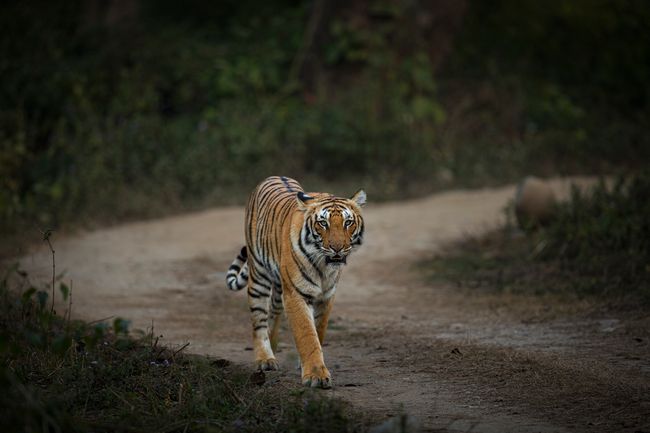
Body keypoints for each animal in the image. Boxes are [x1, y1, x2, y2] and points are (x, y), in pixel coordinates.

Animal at [224, 176, 364, 388]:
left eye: (348, 222)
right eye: (323, 223)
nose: (337, 248)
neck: (324, 265)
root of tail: (272, 176)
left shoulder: (326, 296)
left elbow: (318, 331)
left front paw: (307, 364)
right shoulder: (296, 294)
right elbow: (306, 334)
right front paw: (316, 375)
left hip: (279, 286)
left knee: (273, 313)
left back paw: (273, 347)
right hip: (259, 277)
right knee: (259, 322)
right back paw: (265, 359)